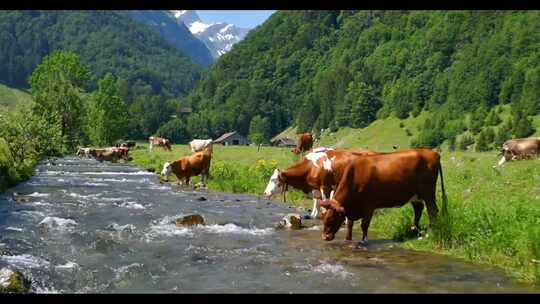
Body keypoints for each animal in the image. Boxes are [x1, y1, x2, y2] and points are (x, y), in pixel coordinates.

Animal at [320, 148, 448, 243]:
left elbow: (364, 225)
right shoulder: (352, 207)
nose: (325, 237)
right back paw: (416, 230)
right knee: (419, 209)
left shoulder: (369, 205)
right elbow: (350, 224)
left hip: (428, 191)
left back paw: (431, 231)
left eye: (331, 218)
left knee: (432, 210)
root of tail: (433, 152)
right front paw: (348, 239)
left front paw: (363, 241)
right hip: (416, 194)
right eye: (324, 218)